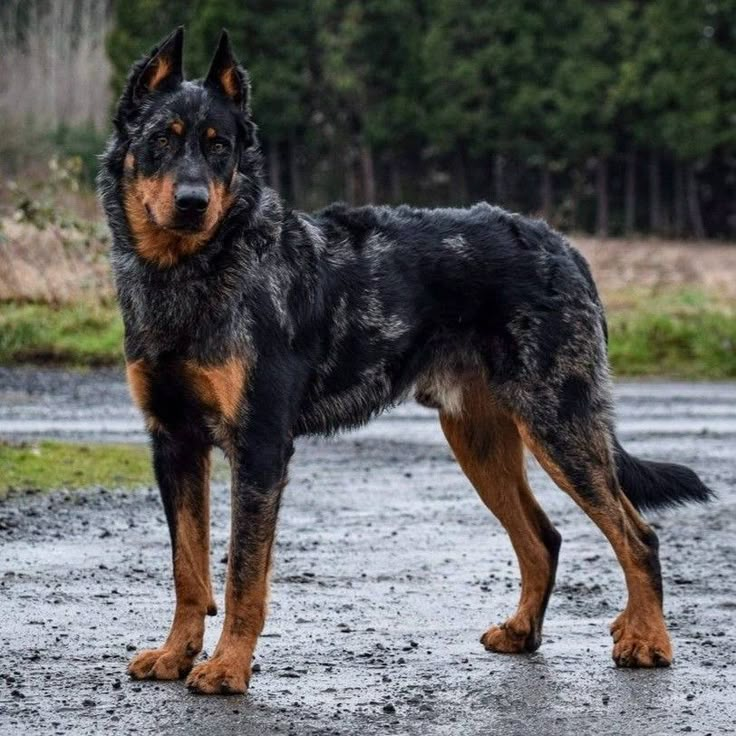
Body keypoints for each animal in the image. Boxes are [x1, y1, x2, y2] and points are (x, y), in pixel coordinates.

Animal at [98, 27, 712, 696]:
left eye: (219, 147)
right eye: (162, 140)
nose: (192, 202)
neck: (195, 270)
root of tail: (563, 246)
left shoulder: (258, 446)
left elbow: (243, 578)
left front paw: (228, 667)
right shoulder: (174, 441)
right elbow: (188, 569)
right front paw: (176, 654)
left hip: (559, 424)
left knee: (637, 536)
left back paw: (648, 641)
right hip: (481, 440)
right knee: (543, 538)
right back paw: (524, 632)